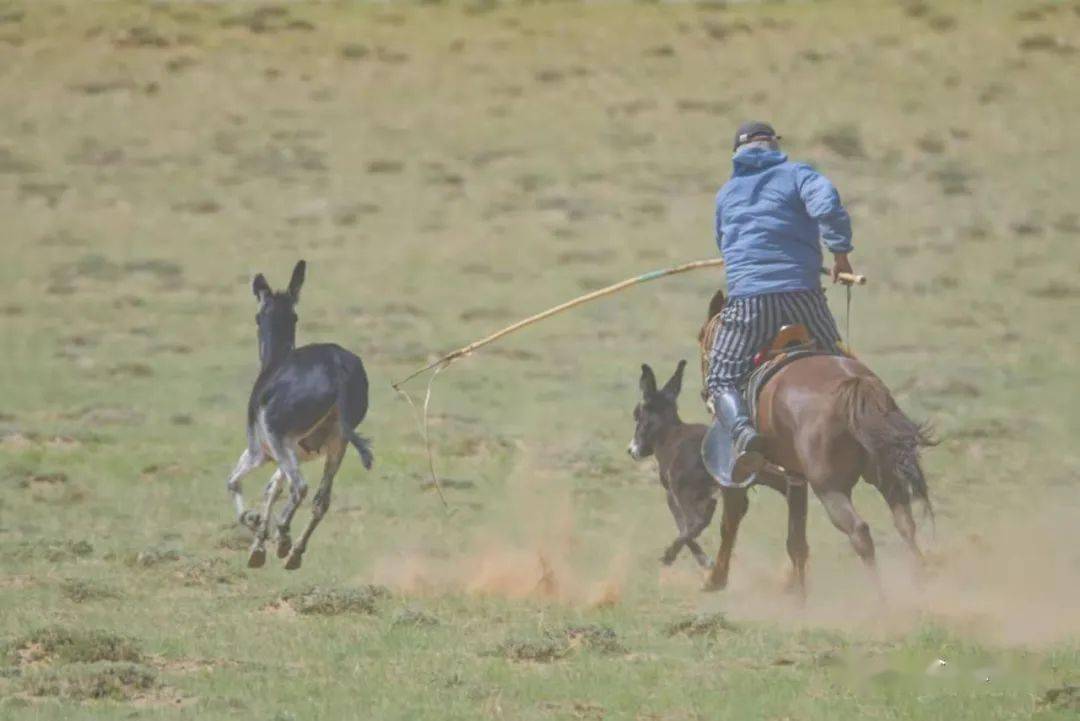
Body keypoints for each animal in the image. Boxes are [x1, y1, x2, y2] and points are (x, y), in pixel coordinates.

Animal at [695, 289, 933, 595]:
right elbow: (796, 541)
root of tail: (855, 385)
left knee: (860, 532)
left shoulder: (737, 478)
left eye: (703, 336)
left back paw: (881, 599)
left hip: (830, 488)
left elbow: (730, 523)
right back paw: (920, 582)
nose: (705, 394)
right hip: (886, 475)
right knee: (905, 523)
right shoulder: (795, 479)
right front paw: (798, 593)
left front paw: (716, 579)